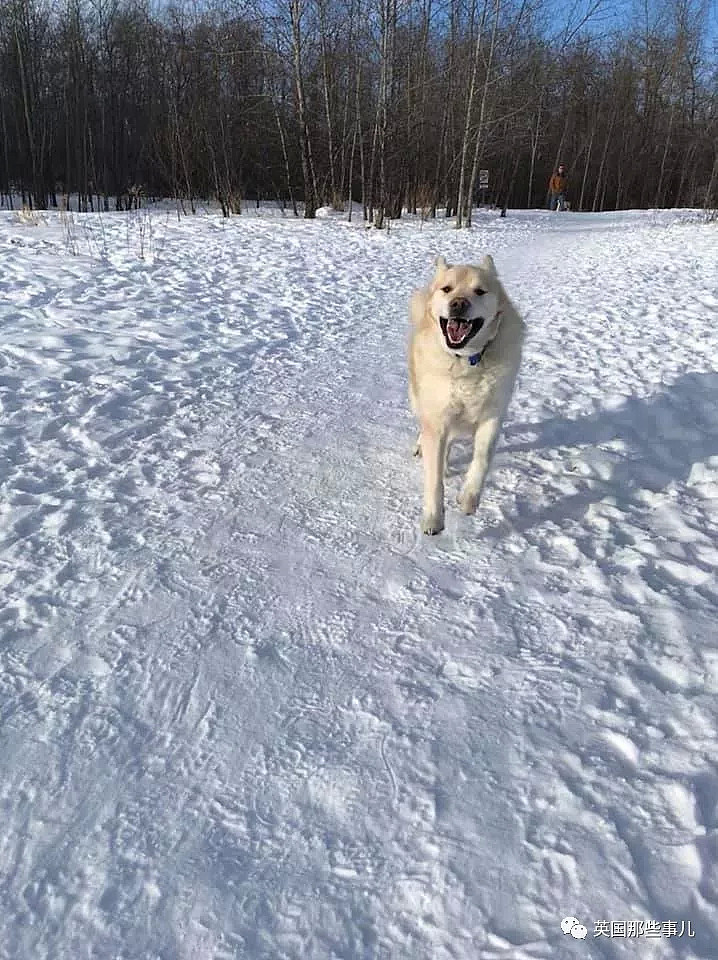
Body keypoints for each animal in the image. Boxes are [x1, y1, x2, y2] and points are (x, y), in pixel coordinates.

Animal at [408, 255, 524, 536]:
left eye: (479, 291)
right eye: (447, 289)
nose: (458, 304)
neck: (467, 361)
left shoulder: (492, 417)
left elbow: (482, 460)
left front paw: (469, 499)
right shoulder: (437, 419)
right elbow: (434, 479)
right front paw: (433, 519)